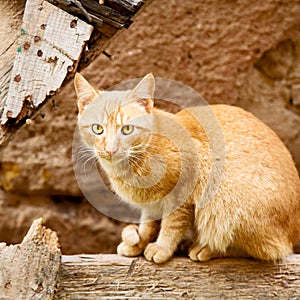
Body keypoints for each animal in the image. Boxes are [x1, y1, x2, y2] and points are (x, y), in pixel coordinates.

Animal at [74, 74, 300, 264]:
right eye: (97, 128)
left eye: (127, 129)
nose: (110, 149)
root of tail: (293, 234)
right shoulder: (151, 204)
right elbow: (148, 223)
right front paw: (139, 242)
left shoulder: (184, 191)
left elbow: (172, 224)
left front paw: (162, 248)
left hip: (226, 203)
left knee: (265, 251)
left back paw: (205, 248)